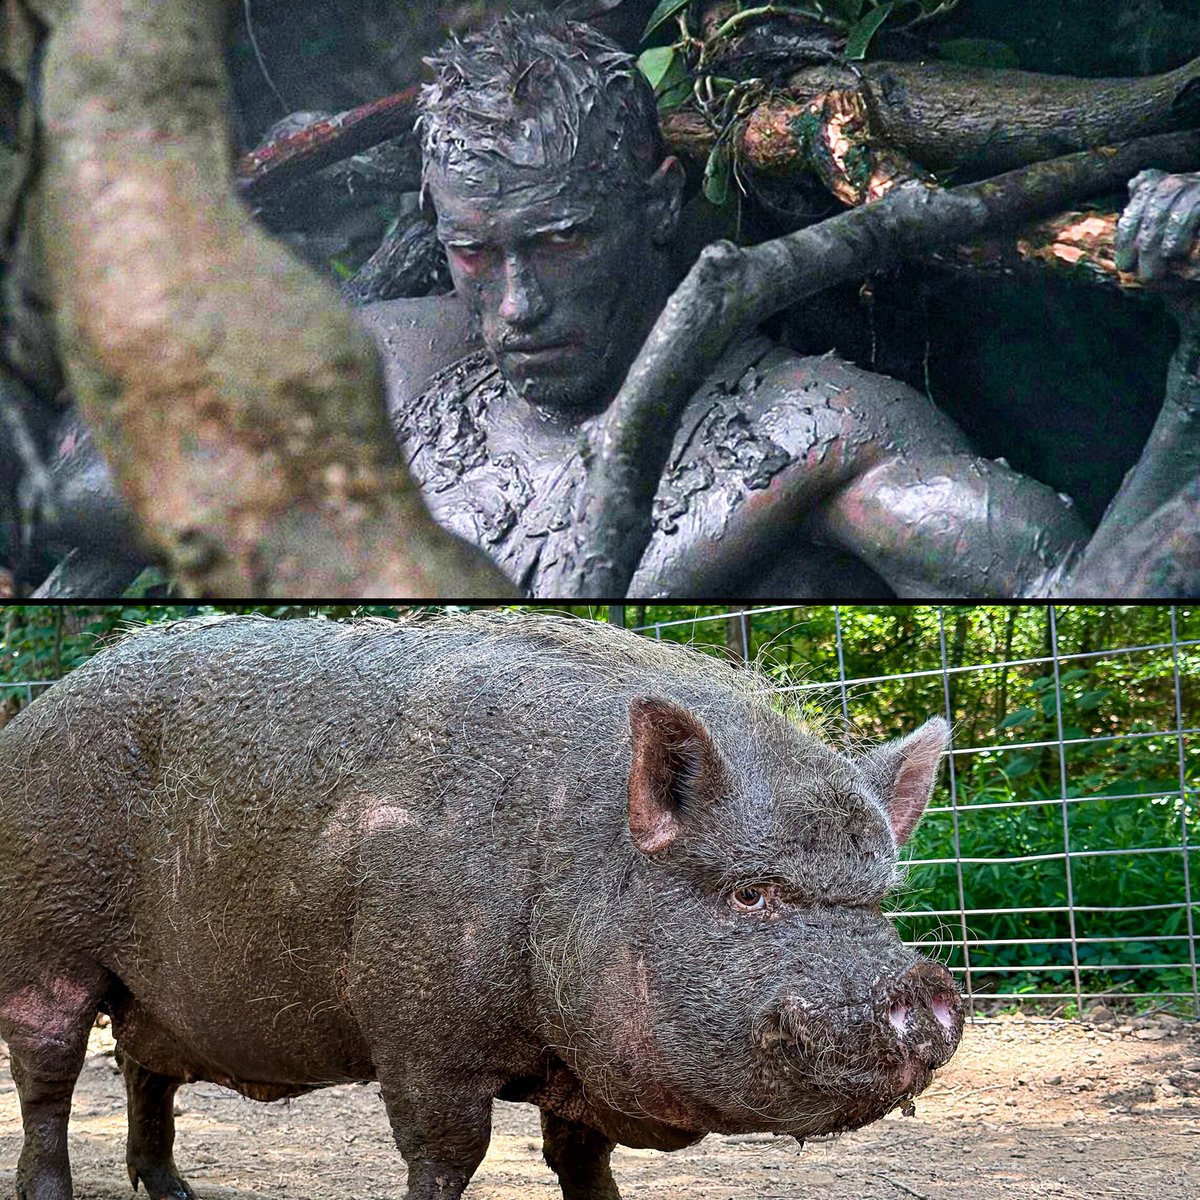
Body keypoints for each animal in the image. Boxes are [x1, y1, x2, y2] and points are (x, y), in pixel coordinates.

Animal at [0, 612, 963, 1200]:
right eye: (751, 892)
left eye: (878, 901)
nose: (920, 990)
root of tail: (31, 718)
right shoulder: (421, 1033)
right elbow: (448, 1155)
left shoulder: (577, 1066)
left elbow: (581, 1160)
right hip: (44, 945)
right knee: (49, 1078)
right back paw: (51, 1190)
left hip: (156, 991)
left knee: (143, 1067)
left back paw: (178, 1192)